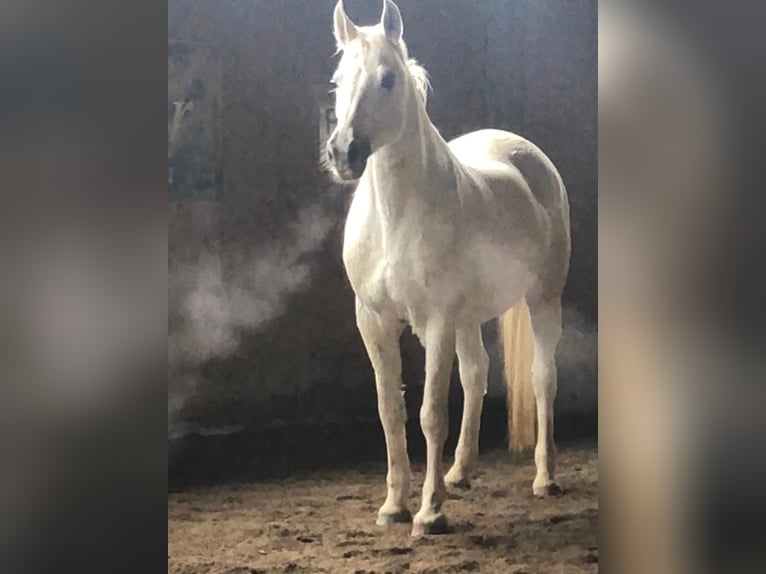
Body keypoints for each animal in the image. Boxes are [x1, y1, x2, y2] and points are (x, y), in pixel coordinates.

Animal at [328, 2, 572, 536]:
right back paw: (461, 471)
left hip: (543, 299)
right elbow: (390, 411)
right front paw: (393, 506)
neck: (395, 218)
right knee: (477, 373)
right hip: (468, 317)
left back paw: (544, 478)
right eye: (338, 80)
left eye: (388, 79)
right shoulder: (373, 321)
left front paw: (429, 512)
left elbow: (430, 413)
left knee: (543, 378)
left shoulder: (436, 322)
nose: (342, 153)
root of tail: (525, 152)